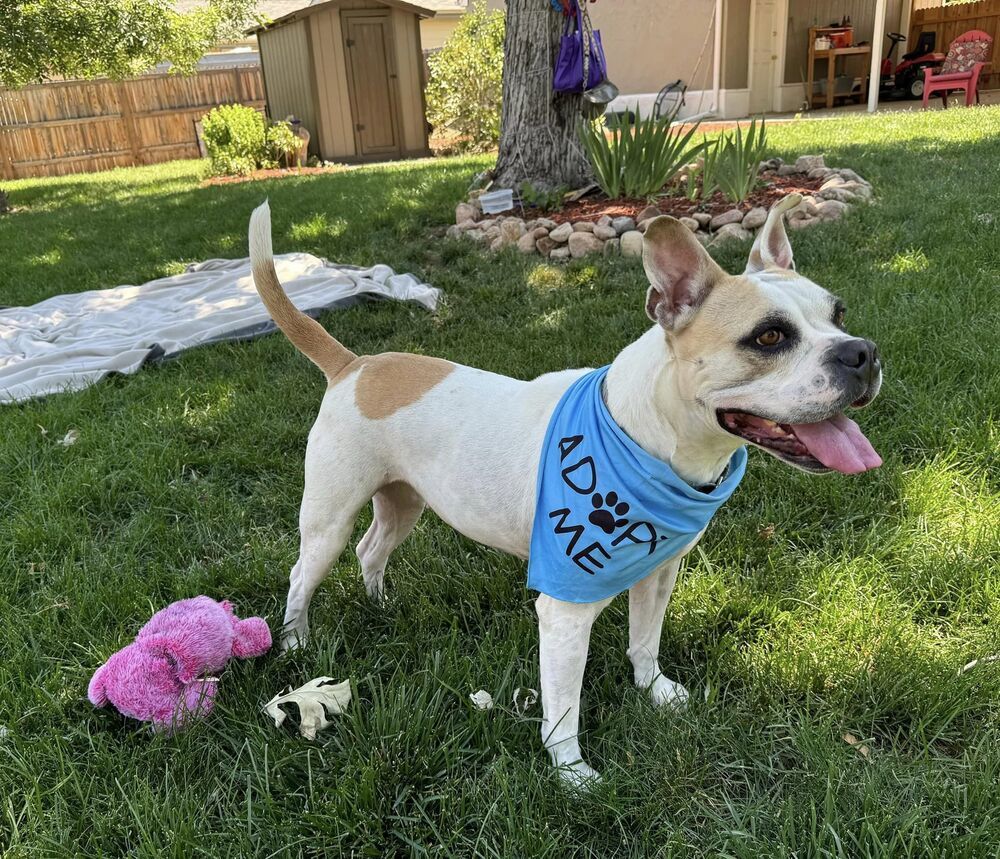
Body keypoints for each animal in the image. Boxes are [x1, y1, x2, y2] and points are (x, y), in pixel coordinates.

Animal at [250, 197, 884, 788]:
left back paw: (382, 604)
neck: (647, 436)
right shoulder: (564, 611)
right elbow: (563, 707)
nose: (863, 352)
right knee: (303, 574)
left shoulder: (659, 573)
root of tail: (353, 365)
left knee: (371, 550)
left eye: (840, 314)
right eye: (769, 336)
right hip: (329, 520)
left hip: (403, 502)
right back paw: (296, 643)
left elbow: (645, 641)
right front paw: (573, 775)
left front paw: (656, 692)